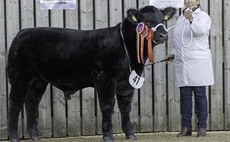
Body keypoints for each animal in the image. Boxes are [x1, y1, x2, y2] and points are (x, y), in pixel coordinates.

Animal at [7, 5, 176, 142]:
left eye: (163, 19)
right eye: (147, 21)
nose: (164, 35)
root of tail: (22, 33)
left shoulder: (127, 83)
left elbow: (126, 108)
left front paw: (131, 135)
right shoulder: (105, 78)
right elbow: (107, 106)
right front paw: (108, 136)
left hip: (39, 81)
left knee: (31, 104)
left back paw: (35, 136)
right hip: (20, 77)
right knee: (15, 103)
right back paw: (14, 137)